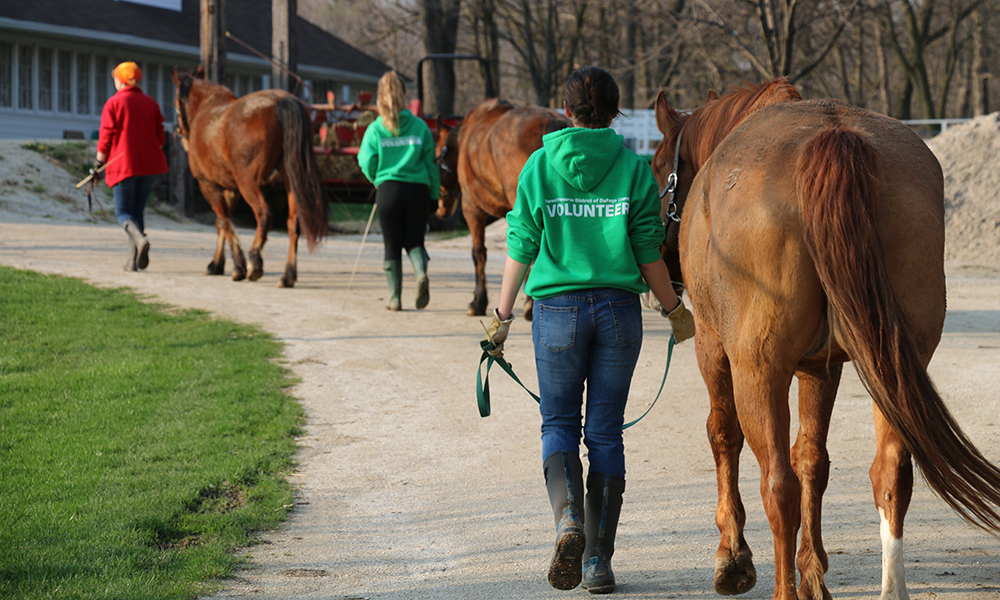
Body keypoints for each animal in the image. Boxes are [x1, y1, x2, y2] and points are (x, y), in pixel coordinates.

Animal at [172, 67, 326, 288]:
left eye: (176, 105)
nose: (180, 133)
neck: (207, 109)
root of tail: (282, 100)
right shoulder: (230, 188)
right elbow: (221, 223)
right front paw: (217, 264)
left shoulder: (208, 185)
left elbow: (225, 221)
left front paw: (238, 266)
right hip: (291, 181)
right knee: (293, 223)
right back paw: (288, 275)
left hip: (249, 183)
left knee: (263, 213)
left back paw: (255, 261)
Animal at [652, 81, 1000, 600]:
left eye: (657, 166)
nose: (661, 260)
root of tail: (833, 137)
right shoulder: (823, 367)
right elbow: (813, 460)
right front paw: (813, 573)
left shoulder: (713, 348)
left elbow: (725, 434)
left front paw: (732, 558)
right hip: (891, 367)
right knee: (890, 473)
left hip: (759, 371)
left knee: (777, 484)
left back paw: (781, 588)